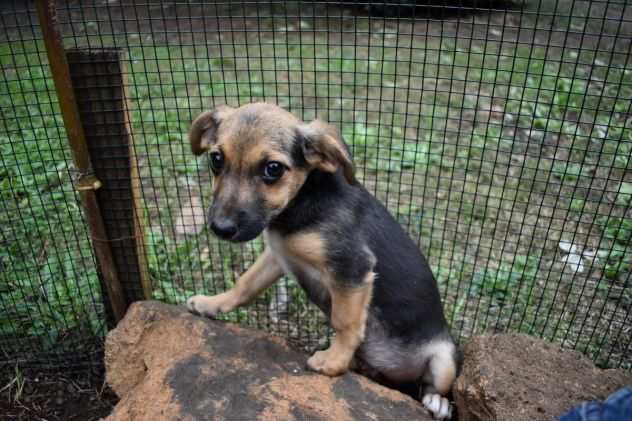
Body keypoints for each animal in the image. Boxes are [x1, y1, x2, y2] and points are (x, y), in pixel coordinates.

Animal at [185, 102, 456, 420]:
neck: (299, 204)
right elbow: (245, 284)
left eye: (273, 169)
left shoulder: (352, 267)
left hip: (445, 358)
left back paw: (437, 402)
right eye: (216, 159)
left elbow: (345, 321)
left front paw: (334, 362)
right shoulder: (277, 256)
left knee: (435, 385)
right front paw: (211, 303)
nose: (220, 228)